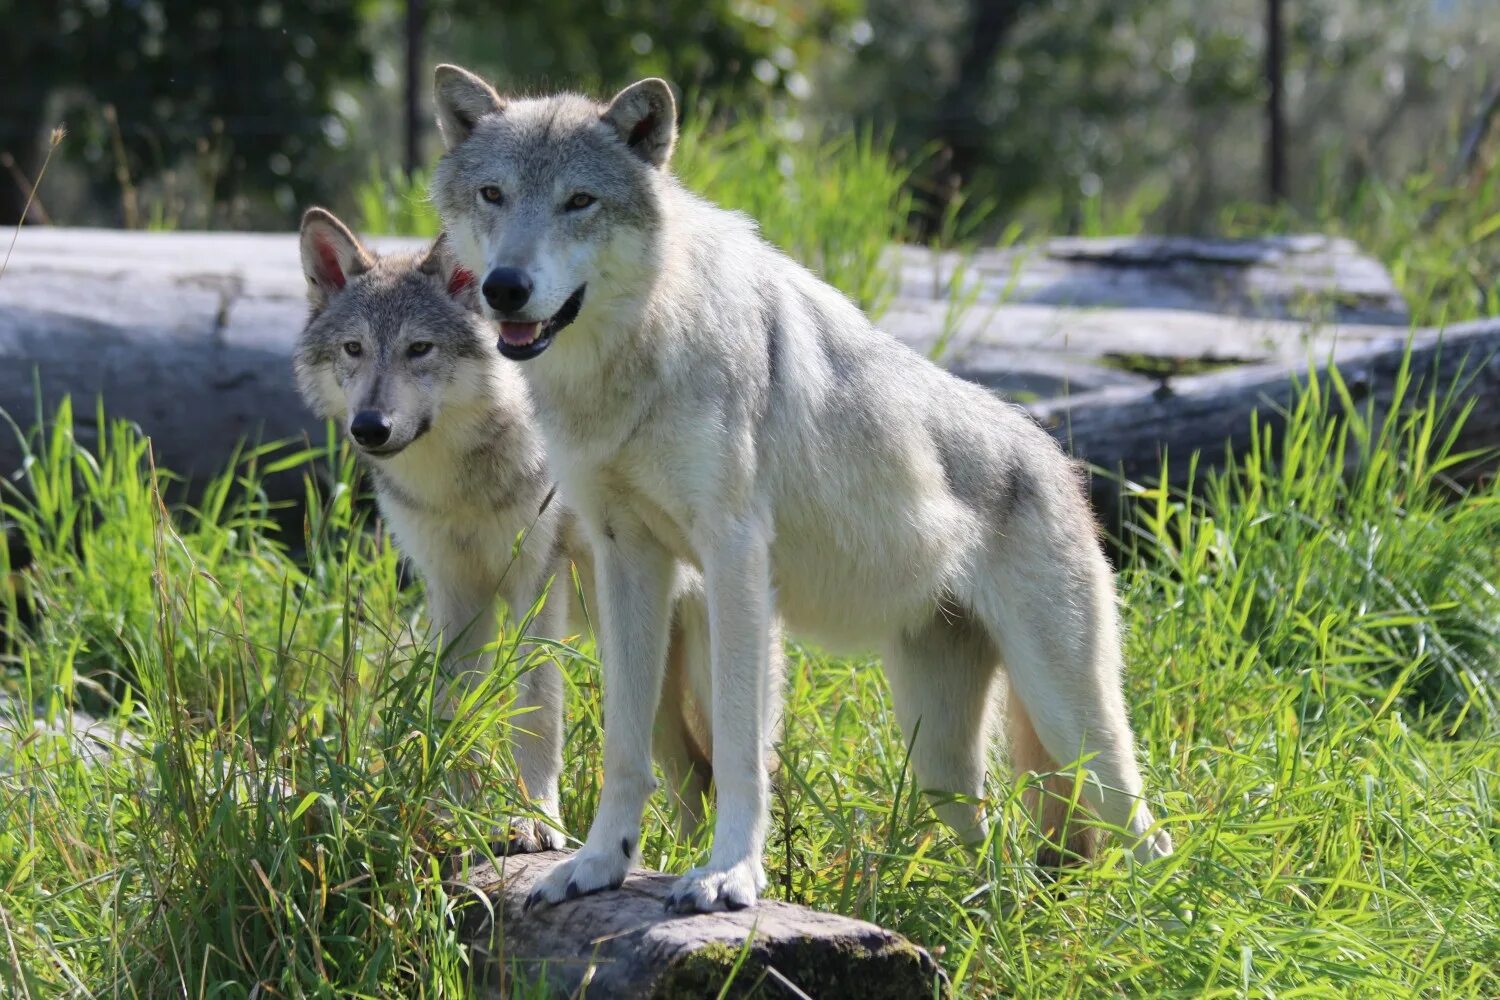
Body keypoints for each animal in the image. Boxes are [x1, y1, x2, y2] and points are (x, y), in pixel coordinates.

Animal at [294, 206, 720, 851]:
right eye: (353, 348)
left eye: (420, 348)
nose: (370, 427)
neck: (457, 488)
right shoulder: (454, 593)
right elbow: (450, 709)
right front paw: (450, 815)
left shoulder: (536, 581)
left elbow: (536, 710)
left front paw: (535, 819)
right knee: (691, 772)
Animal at [429, 64, 1176, 917]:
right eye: (493, 194)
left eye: (578, 201)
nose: (505, 287)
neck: (638, 355)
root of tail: (1059, 461)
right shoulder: (627, 560)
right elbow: (625, 744)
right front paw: (597, 865)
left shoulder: (735, 561)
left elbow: (740, 747)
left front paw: (728, 874)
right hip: (940, 756)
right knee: (999, 848)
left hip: (1071, 723)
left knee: (1143, 831)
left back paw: (1150, 921)